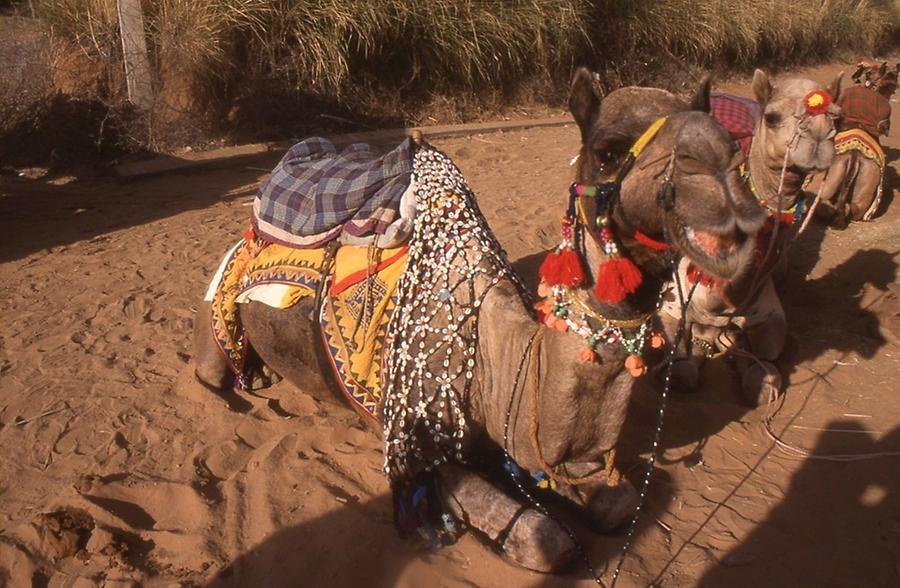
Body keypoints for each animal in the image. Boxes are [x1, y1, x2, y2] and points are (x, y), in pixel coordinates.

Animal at [192, 66, 768, 572]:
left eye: (732, 143)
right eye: (608, 152)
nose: (722, 170)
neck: (497, 355)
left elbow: (616, 502)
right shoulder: (417, 442)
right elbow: (543, 539)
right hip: (222, 298)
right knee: (211, 370)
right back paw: (250, 378)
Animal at [584, 71, 844, 406]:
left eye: (837, 117)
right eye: (772, 116)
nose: (818, 141)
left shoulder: (770, 313)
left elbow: (765, 363)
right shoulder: (670, 306)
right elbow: (679, 363)